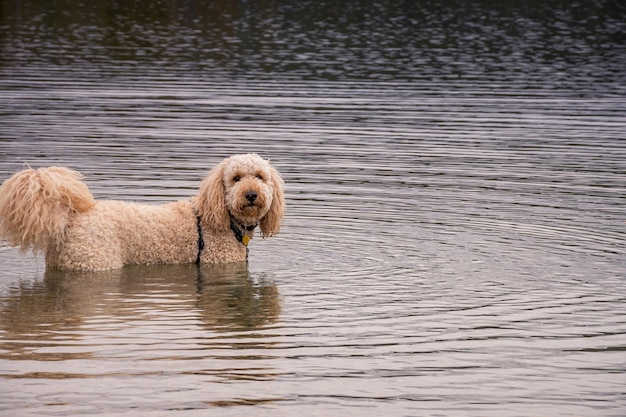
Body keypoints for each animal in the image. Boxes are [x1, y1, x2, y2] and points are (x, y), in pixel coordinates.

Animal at [0, 153, 286, 270]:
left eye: (260, 177)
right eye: (236, 178)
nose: (251, 194)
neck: (222, 219)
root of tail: (71, 217)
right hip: (95, 262)